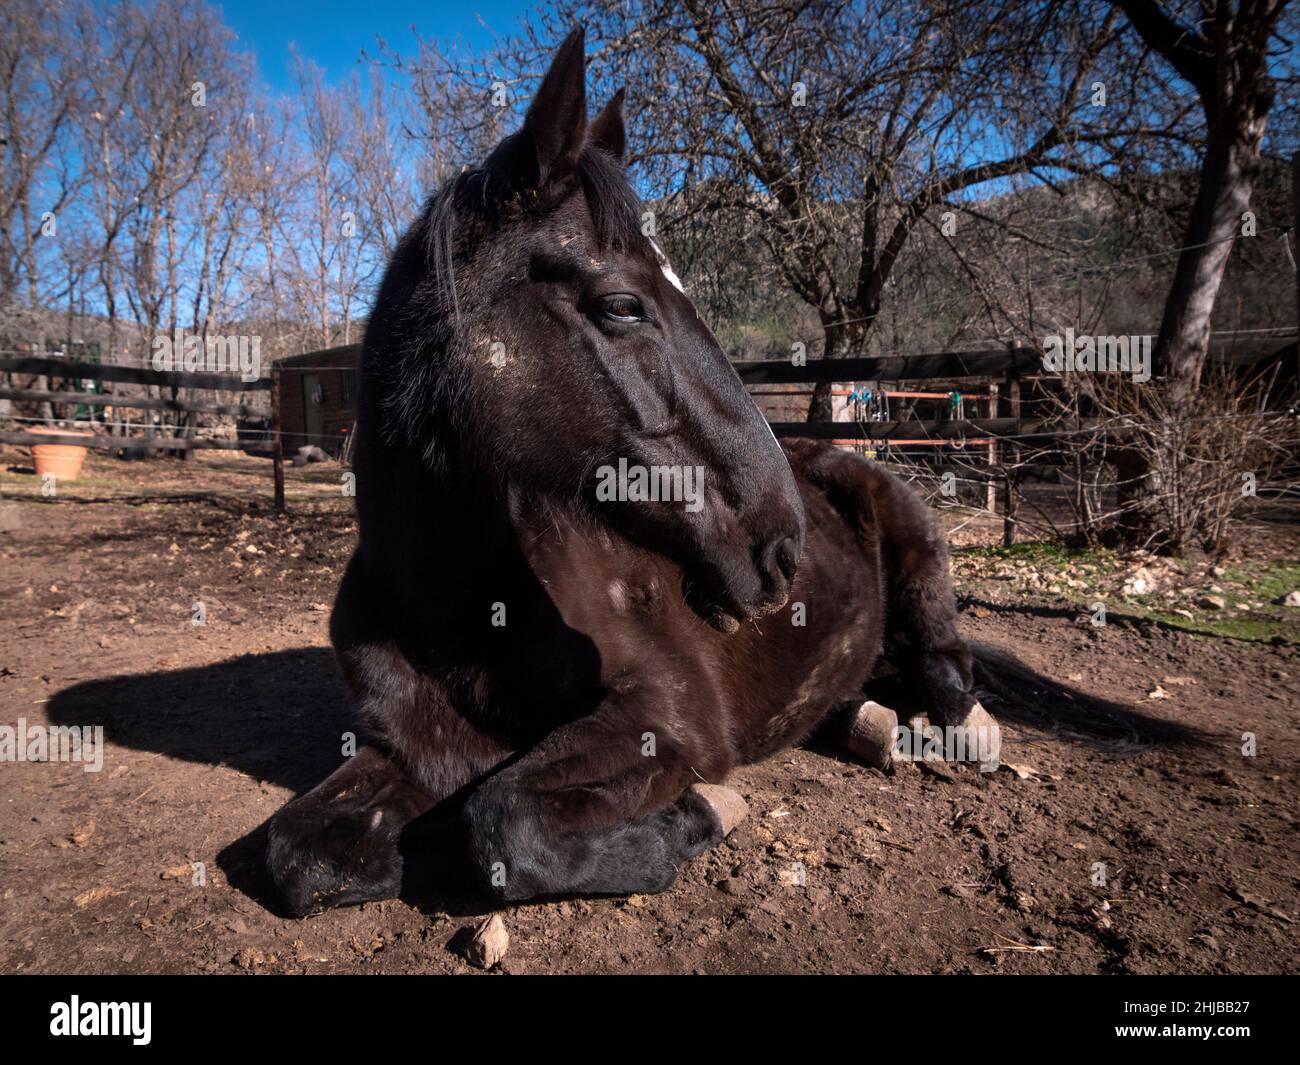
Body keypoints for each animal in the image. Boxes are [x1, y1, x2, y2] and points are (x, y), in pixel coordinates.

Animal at [266, 28, 998, 914]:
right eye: (621, 304)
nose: (780, 546)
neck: (460, 610)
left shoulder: (666, 713)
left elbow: (504, 822)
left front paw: (700, 814)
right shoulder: (407, 750)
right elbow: (299, 851)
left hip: (920, 563)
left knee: (949, 668)